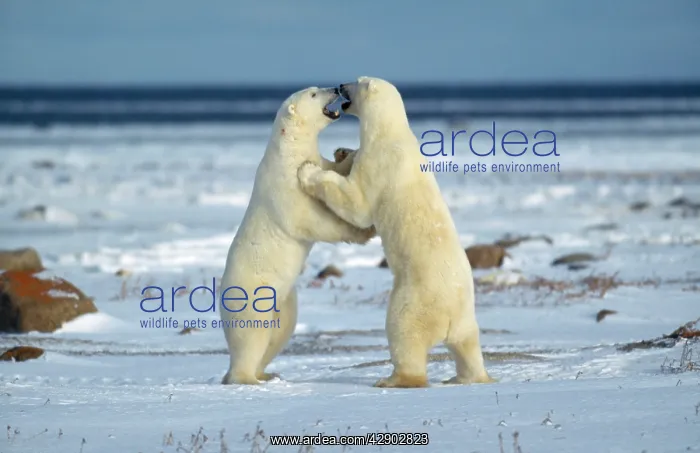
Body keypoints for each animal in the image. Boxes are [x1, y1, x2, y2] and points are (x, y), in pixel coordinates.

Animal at [219, 86, 375, 385]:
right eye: (314, 94)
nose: (334, 88)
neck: (288, 150)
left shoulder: (313, 160)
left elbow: (332, 170)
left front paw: (345, 153)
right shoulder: (286, 185)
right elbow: (313, 220)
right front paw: (363, 231)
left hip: (284, 302)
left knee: (278, 333)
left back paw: (267, 372)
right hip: (253, 297)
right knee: (251, 337)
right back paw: (246, 378)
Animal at [297, 77, 494, 388]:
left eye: (357, 81)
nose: (340, 84)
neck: (390, 132)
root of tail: (450, 318)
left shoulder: (379, 164)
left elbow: (357, 204)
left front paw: (308, 171)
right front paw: (342, 151)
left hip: (413, 300)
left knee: (403, 333)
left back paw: (394, 379)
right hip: (466, 317)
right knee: (468, 345)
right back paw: (467, 377)